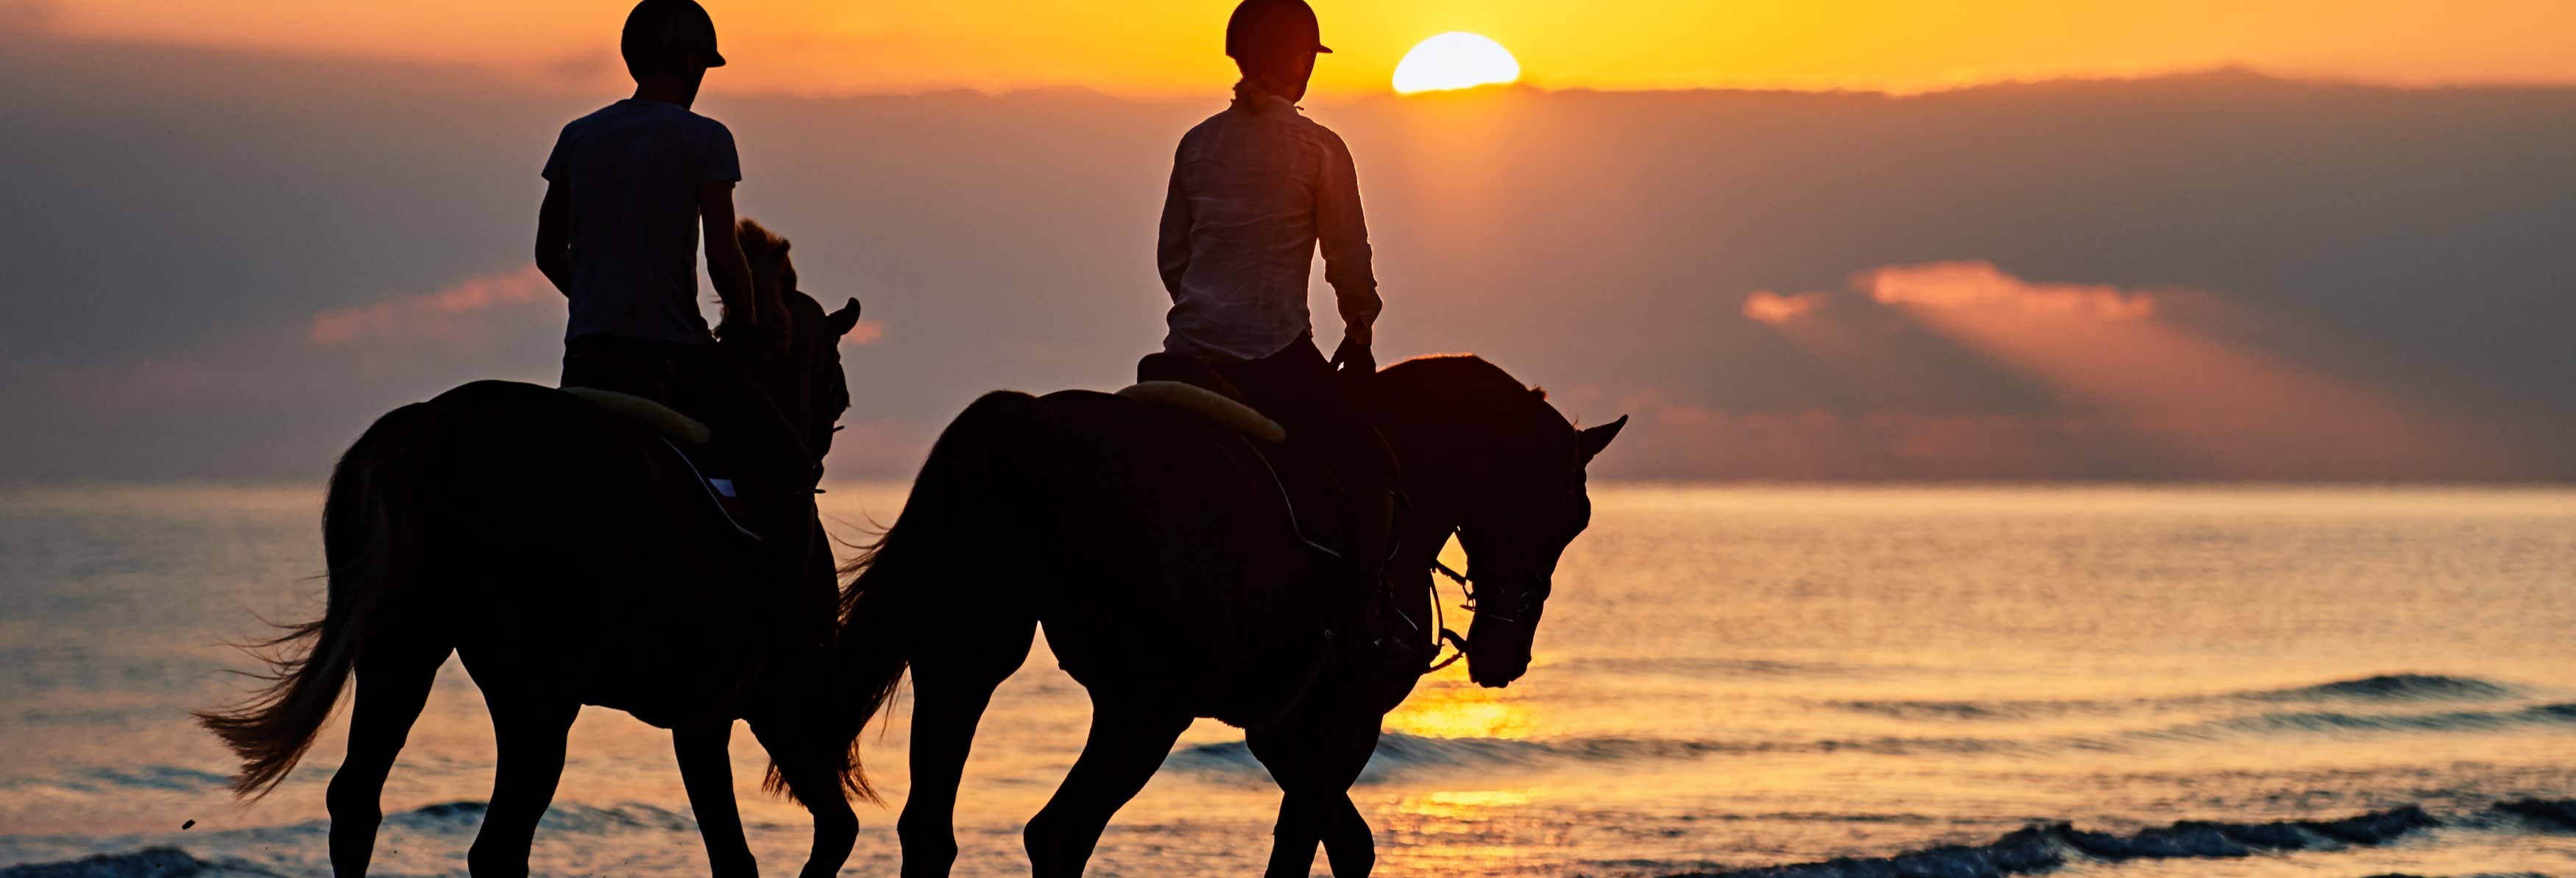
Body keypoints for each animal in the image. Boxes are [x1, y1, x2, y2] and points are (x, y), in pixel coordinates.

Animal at [193, 220, 876, 875]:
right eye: (839, 390)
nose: (817, 449)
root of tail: (427, 427)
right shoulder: (767, 704)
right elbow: (825, 831)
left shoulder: (702, 721)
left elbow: (747, 853)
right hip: (539, 692)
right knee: (496, 846)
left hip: (404, 649)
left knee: (360, 802)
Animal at [835, 355, 1618, 875]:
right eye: (1571, 515)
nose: (1505, 654)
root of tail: (1036, 425)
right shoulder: (1346, 718)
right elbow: (1301, 844)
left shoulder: (1279, 727)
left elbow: (1350, 843)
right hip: (1145, 705)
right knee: (1058, 832)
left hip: (966, 654)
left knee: (931, 828)